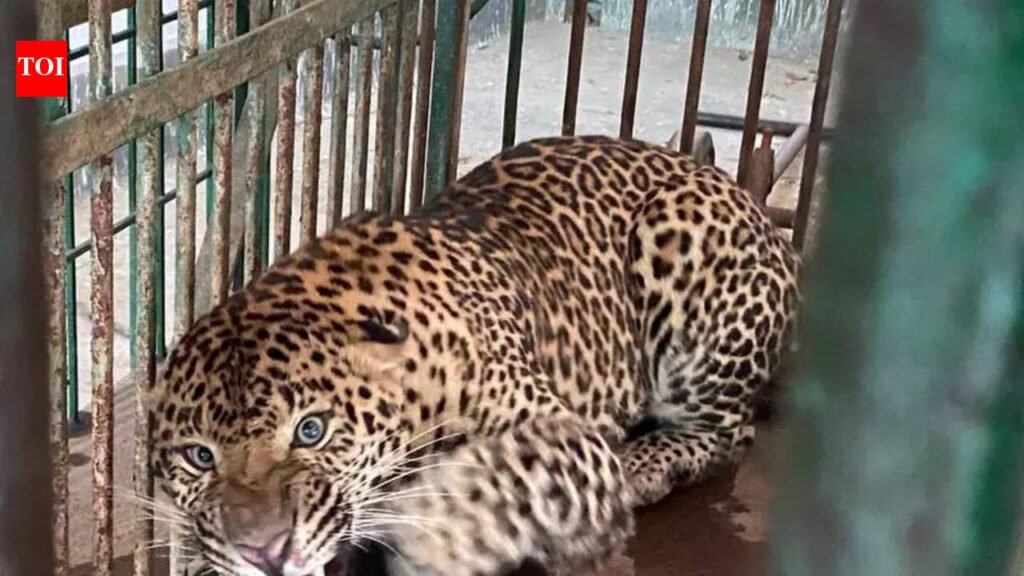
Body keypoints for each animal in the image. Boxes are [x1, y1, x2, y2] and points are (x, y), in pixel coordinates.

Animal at [148, 135, 800, 576]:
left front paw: (444, 537)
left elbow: (501, 486)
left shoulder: (565, 435)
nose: (266, 551)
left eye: (312, 430)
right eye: (199, 457)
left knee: (729, 431)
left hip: (682, 247)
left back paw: (646, 465)